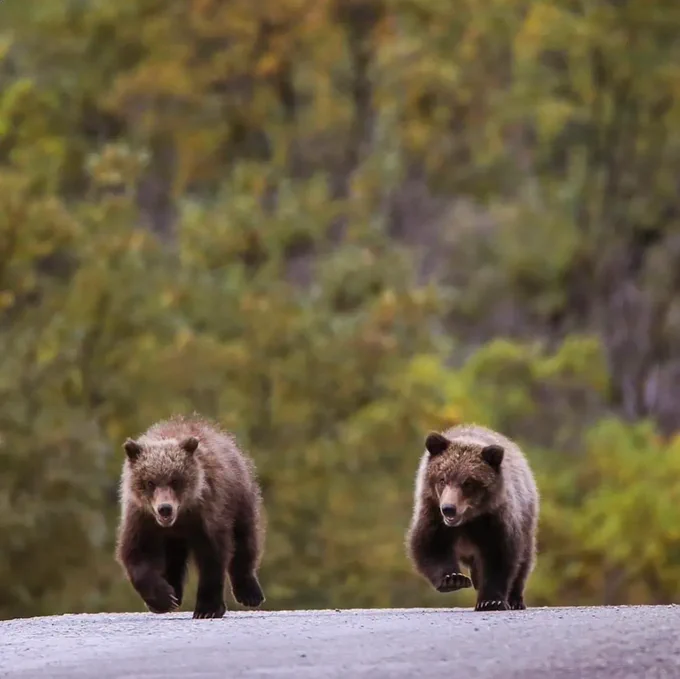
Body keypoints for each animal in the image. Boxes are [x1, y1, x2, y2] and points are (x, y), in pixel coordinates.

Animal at [115, 414, 266, 619]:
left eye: (175, 480)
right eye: (150, 482)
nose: (165, 508)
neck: (180, 519)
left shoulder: (207, 517)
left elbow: (212, 557)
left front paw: (207, 608)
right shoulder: (141, 519)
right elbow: (137, 556)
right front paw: (163, 598)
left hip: (239, 496)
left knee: (245, 538)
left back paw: (249, 593)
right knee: (173, 558)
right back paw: (174, 591)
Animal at [406, 423, 539, 611]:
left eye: (468, 483)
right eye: (442, 479)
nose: (449, 509)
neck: (467, 521)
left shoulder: (493, 519)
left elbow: (499, 556)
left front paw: (491, 601)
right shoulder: (433, 514)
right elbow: (430, 546)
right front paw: (453, 579)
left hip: (527, 519)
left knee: (524, 560)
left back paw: (516, 600)